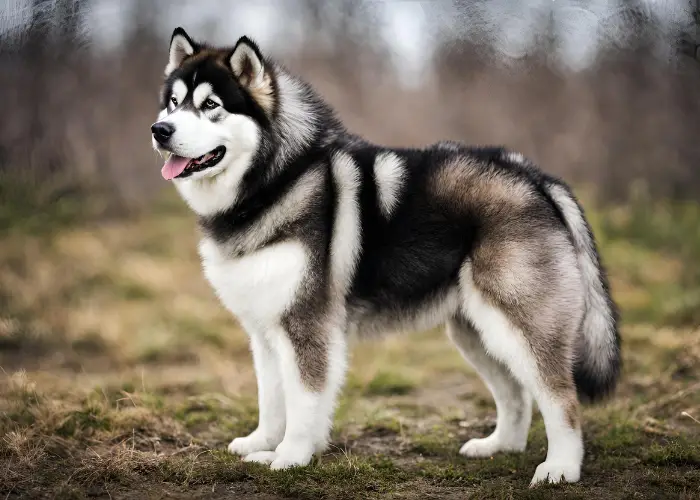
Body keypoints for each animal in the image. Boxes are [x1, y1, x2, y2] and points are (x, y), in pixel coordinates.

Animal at [150, 27, 620, 484]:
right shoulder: (265, 330)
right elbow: (272, 399)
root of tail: (533, 175)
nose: (160, 130)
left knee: (560, 398)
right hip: (476, 330)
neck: (275, 181)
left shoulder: (306, 327)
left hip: (520, 323)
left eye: (210, 105)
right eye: (173, 103)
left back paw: (561, 468)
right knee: (515, 393)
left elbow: (303, 403)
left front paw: (289, 457)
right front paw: (262, 443)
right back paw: (499, 446)